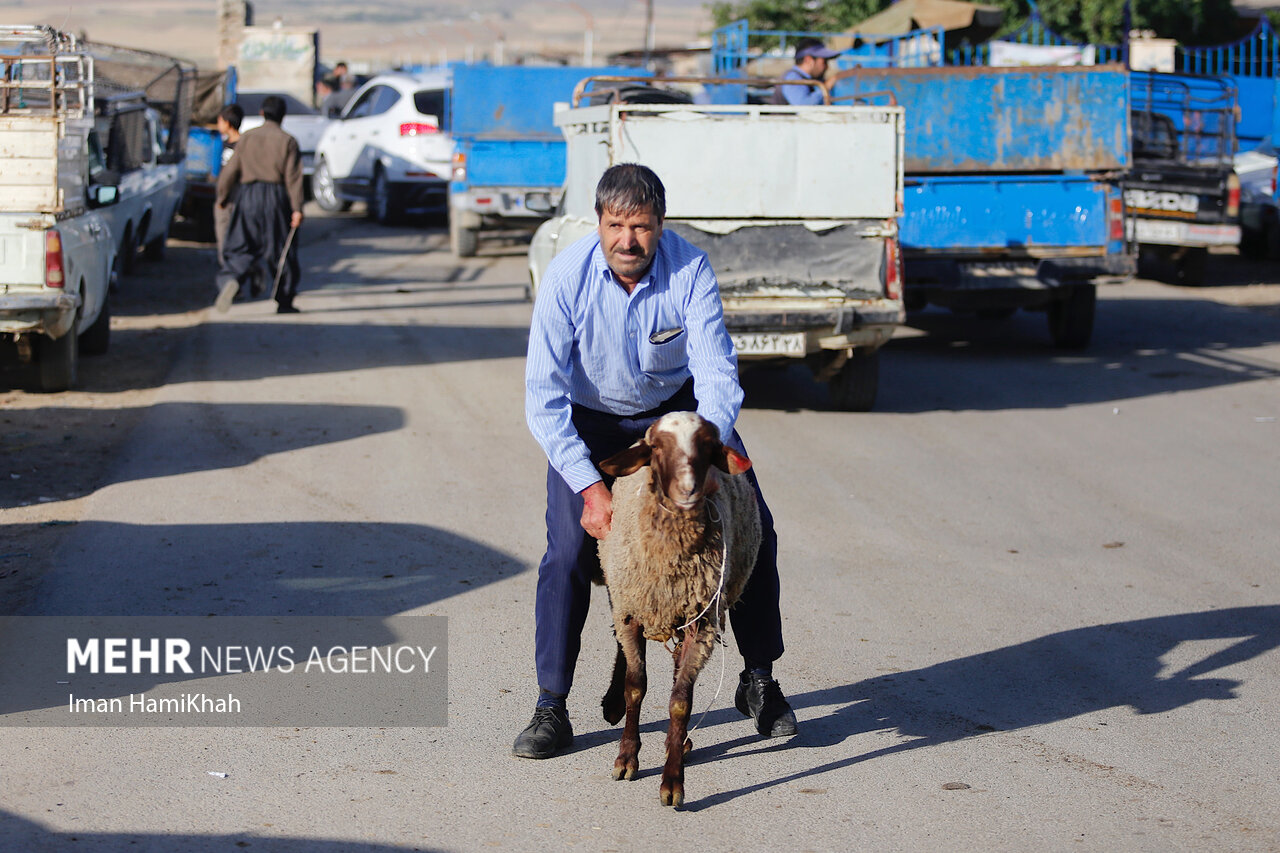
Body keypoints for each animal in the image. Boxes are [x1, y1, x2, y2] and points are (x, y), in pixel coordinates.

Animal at [596, 409, 762, 809]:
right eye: (656, 447)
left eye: (709, 445)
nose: (688, 491)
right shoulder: (630, 612)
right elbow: (635, 687)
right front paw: (626, 758)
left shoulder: (702, 623)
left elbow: (680, 702)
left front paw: (672, 782)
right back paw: (613, 706)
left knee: (676, 675)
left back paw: (680, 742)